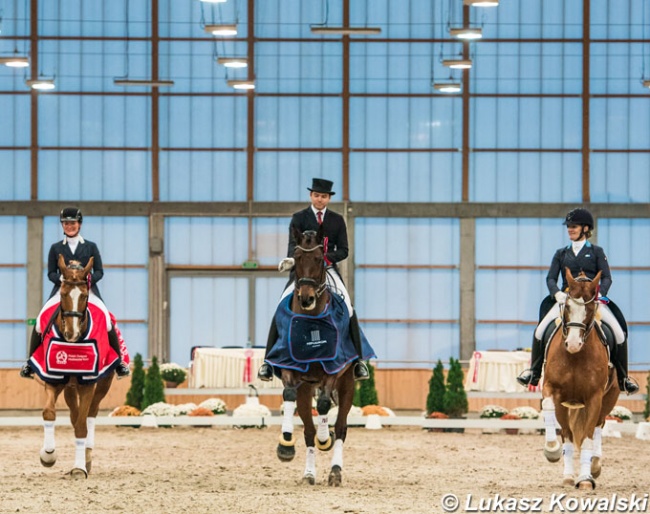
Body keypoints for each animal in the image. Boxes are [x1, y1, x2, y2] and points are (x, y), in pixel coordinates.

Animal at [38, 255, 114, 476]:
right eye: (63, 293)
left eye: (84, 295)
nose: (72, 334)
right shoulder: (53, 379)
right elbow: (49, 412)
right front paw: (48, 455)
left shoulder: (89, 383)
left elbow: (82, 425)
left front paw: (79, 468)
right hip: (70, 388)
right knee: (74, 414)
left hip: (103, 384)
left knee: (90, 414)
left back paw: (87, 457)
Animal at [274, 224, 354, 484]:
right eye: (297, 257)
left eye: (320, 259)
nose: (306, 298)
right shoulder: (291, 369)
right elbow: (289, 394)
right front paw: (285, 446)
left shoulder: (334, 370)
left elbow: (324, 403)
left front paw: (325, 439)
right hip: (307, 386)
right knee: (308, 430)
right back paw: (309, 473)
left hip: (348, 383)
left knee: (341, 427)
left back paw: (335, 471)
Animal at [536, 268, 616, 488]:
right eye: (567, 307)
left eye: (588, 309)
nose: (572, 344)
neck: (575, 357)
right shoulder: (552, 389)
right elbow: (548, 407)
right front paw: (551, 450)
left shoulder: (595, 398)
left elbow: (588, 437)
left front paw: (586, 478)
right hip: (565, 405)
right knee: (568, 435)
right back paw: (568, 476)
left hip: (609, 398)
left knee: (598, 426)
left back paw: (595, 466)